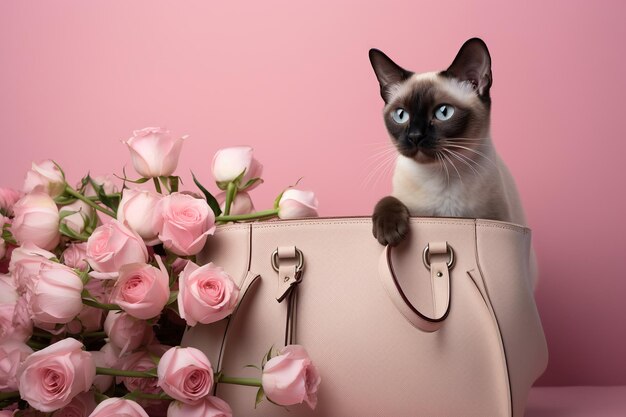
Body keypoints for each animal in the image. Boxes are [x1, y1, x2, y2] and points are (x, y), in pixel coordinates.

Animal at [370, 37, 532, 278]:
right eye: (401, 115)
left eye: (443, 112)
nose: (415, 136)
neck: (441, 174)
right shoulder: (409, 205)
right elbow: (388, 199)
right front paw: (389, 233)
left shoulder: (494, 219)